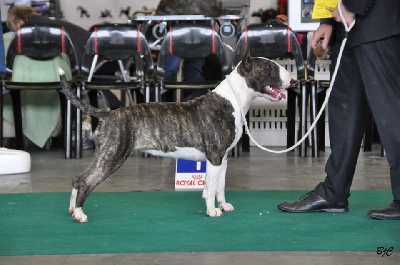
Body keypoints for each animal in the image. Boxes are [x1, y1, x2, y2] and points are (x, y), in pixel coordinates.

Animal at [60, 48, 290, 222]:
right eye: (268, 67)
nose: (292, 78)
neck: (232, 99)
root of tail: (108, 113)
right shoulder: (214, 157)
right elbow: (211, 186)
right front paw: (212, 211)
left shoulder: (222, 159)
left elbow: (219, 186)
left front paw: (223, 205)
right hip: (113, 156)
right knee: (86, 181)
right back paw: (80, 214)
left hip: (105, 154)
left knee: (78, 178)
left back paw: (72, 209)